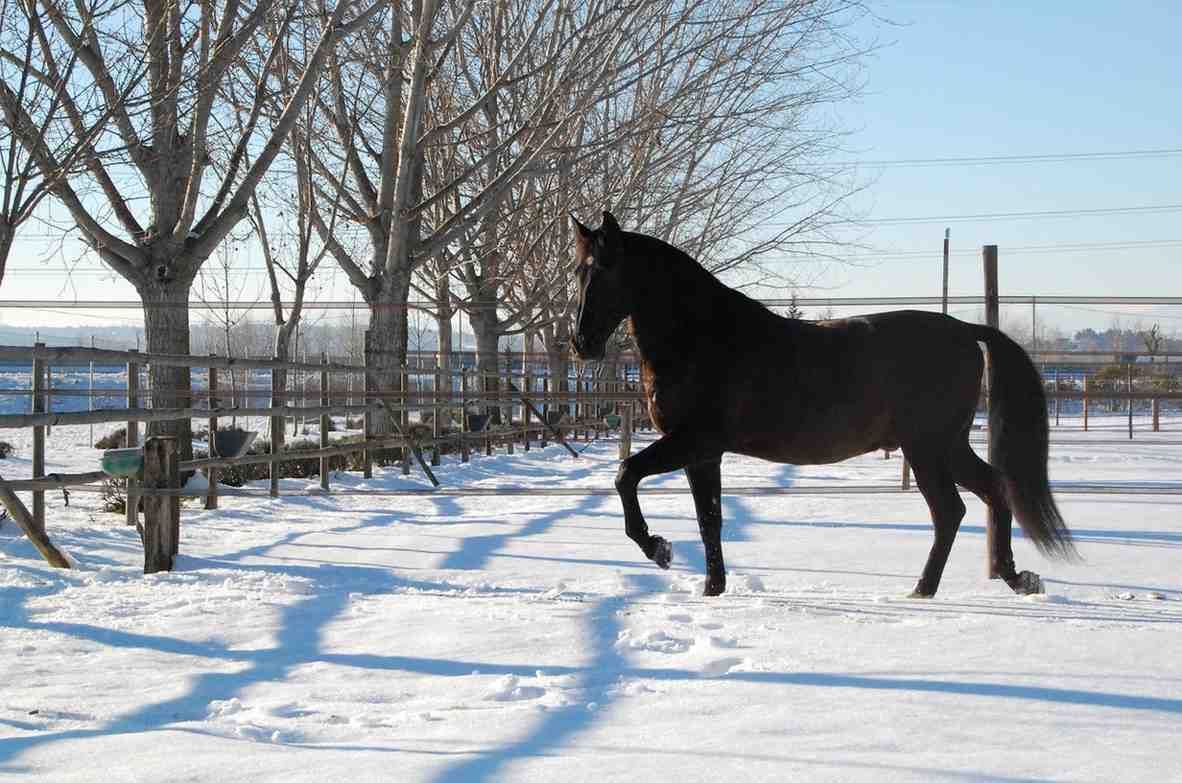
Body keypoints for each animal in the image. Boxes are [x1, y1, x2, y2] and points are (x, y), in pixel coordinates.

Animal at [570, 211, 1075, 598]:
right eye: (579, 271)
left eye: (607, 269)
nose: (582, 344)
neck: (701, 337)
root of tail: (965, 330)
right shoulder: (703, 454)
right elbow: (709, 520)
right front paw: (713, 589)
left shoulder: (692, 441)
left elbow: (625, 474)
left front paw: (658, 548)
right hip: (948, 446)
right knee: (993, 490)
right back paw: (1015, 578)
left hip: (928, 448)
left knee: (951, 511)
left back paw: (923, 590)